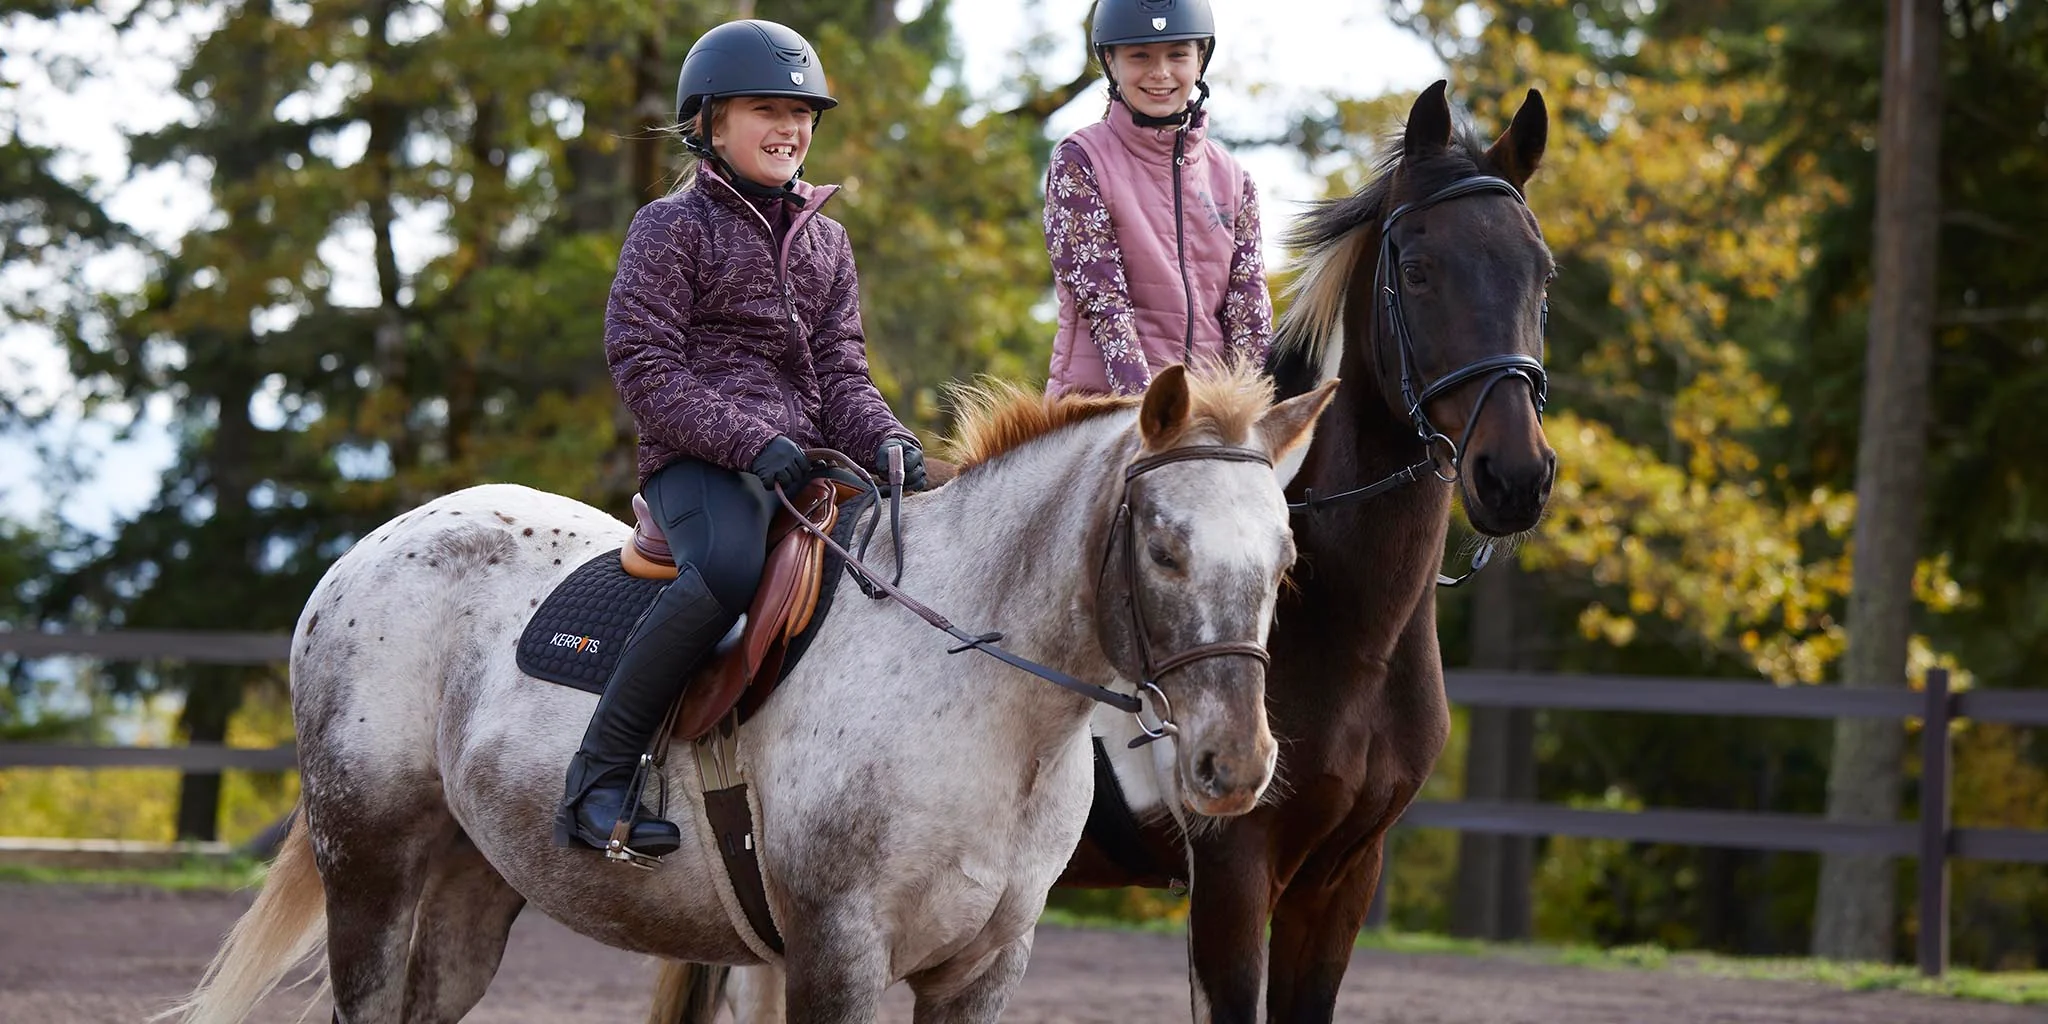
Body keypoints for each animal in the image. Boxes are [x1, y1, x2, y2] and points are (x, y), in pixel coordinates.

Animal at [164, 362, 1337, 1024]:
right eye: (1165, 547)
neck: (984, 711)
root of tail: (371, 552)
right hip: (368, 869)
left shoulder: (980, 970)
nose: (1233, 765)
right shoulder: (837, 953)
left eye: (1285, 559)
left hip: (468, 886)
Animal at [664, 80, 1557, 1024]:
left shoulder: (1343, 877)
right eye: (1418, 271)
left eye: (1541, 275)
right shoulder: (1233, 869)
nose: (1515, 476)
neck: (1355, 637)